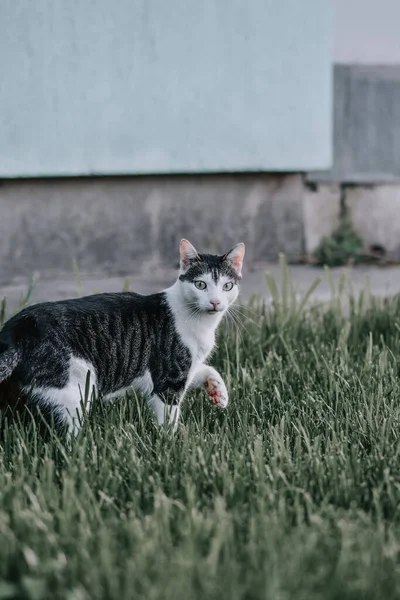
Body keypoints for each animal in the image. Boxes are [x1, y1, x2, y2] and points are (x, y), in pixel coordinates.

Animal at [0, 240, 244, 436]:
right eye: (200, 284)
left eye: (227, 286)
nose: (215, 302)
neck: (202, 324)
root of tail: (18, 325)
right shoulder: (169, 375)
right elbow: (168, 416)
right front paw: (171, 444)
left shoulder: (187, 367)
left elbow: (206, 369)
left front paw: (218, 392)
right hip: (75, 384)